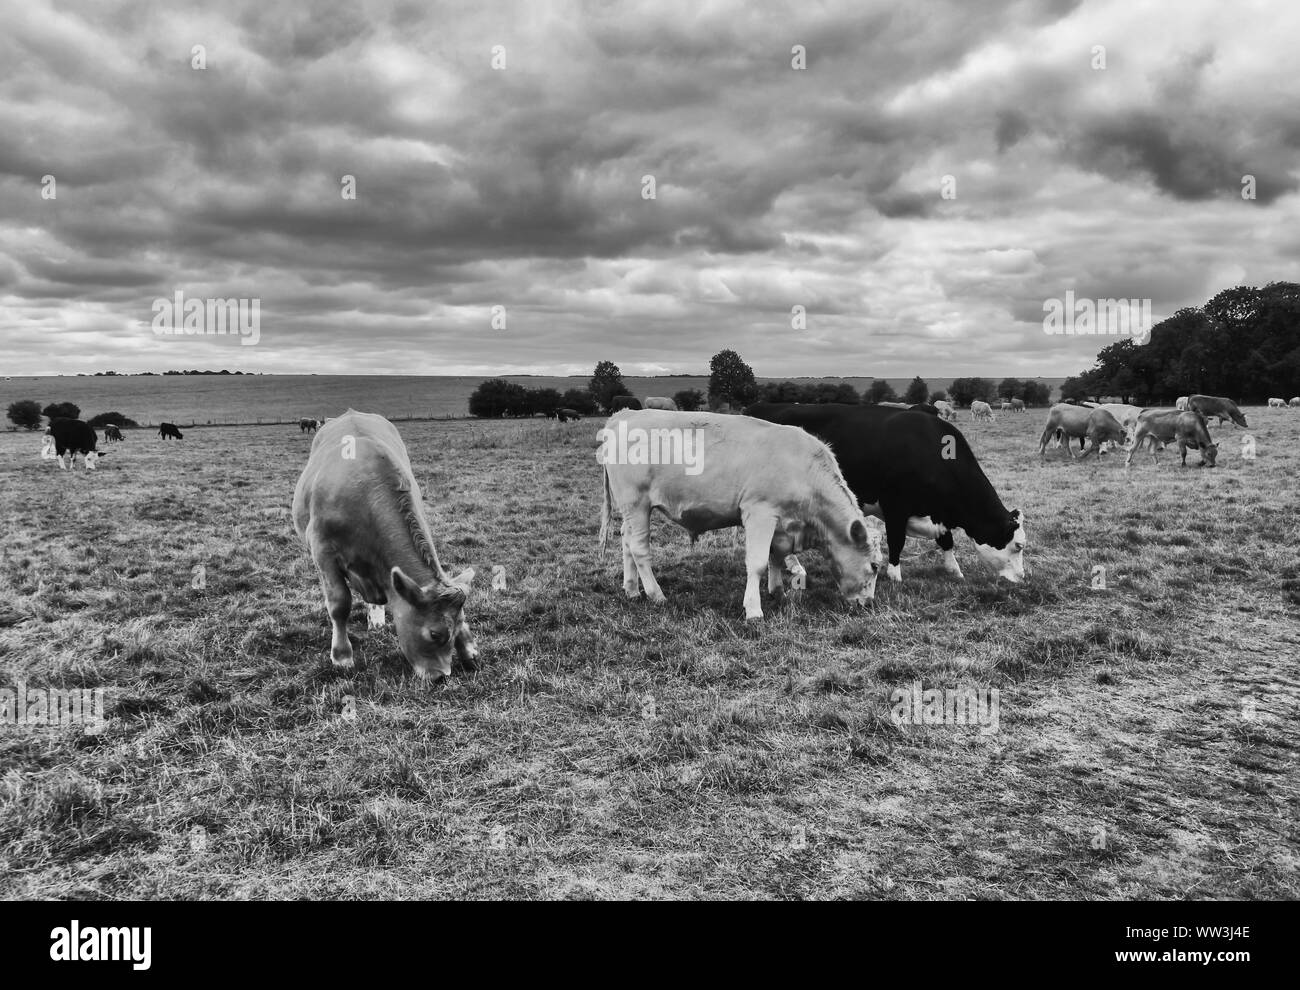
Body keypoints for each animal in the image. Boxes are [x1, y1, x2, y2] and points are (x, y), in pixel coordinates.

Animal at [292, 410, 477, 680]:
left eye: (459, 625)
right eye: (434, 634)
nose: (442, 676)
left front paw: (468, 648)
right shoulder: (323, 552)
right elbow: (339, 603)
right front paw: (342, 657)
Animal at [597, 410, 884, 620]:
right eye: (874, 566)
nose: (869, 604)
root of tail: (625, 414)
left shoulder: (781, 525)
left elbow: (775, 556)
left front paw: (778, 592)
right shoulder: (759, 513)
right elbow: (757, 563)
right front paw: (754, 610)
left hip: (632, 510)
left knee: (626, 542)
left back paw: (632, 590)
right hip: (637, 504)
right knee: (639, 549)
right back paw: (656, 594)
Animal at [745, 403, 1027, 584]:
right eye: (1017, 546)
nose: (1023, 578)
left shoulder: (938, 513)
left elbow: (947, 540)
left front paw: (954, 570)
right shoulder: (895, 507)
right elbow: (897, 541)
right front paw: (894, 575)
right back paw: (795, 565)